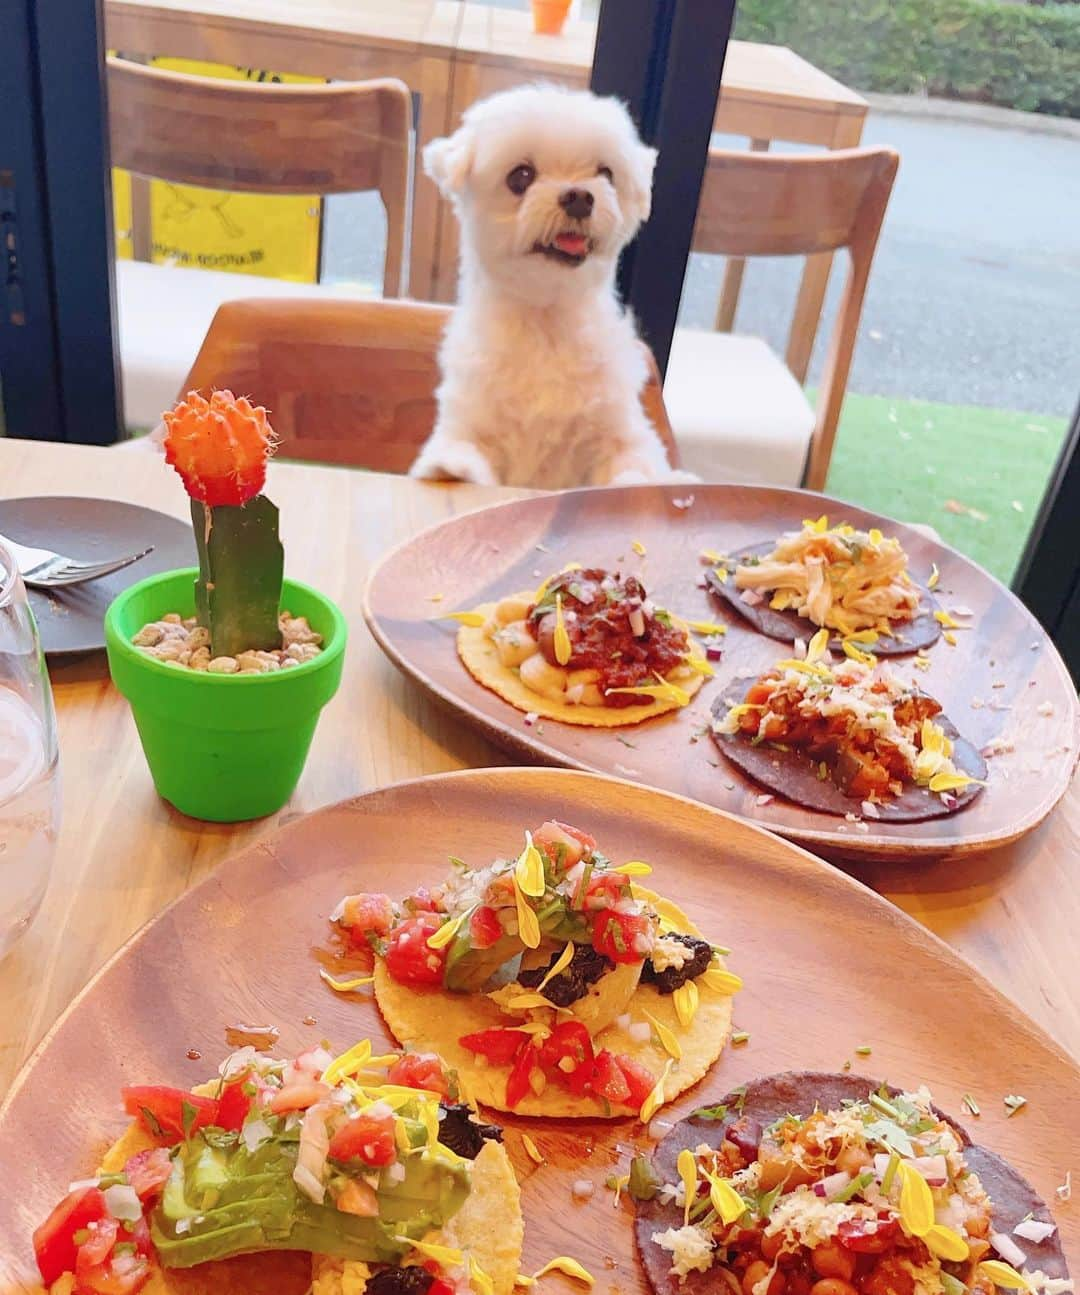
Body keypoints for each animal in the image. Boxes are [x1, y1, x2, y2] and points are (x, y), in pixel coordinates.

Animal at [409, 84, 683, 489]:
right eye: (520, 176)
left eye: (606, 173)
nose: (580, 196)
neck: (546, 321)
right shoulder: (473, 417)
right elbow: (464, 446)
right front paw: (451, 466)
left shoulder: (619, 428)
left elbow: (633, 460)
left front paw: (641, 482)